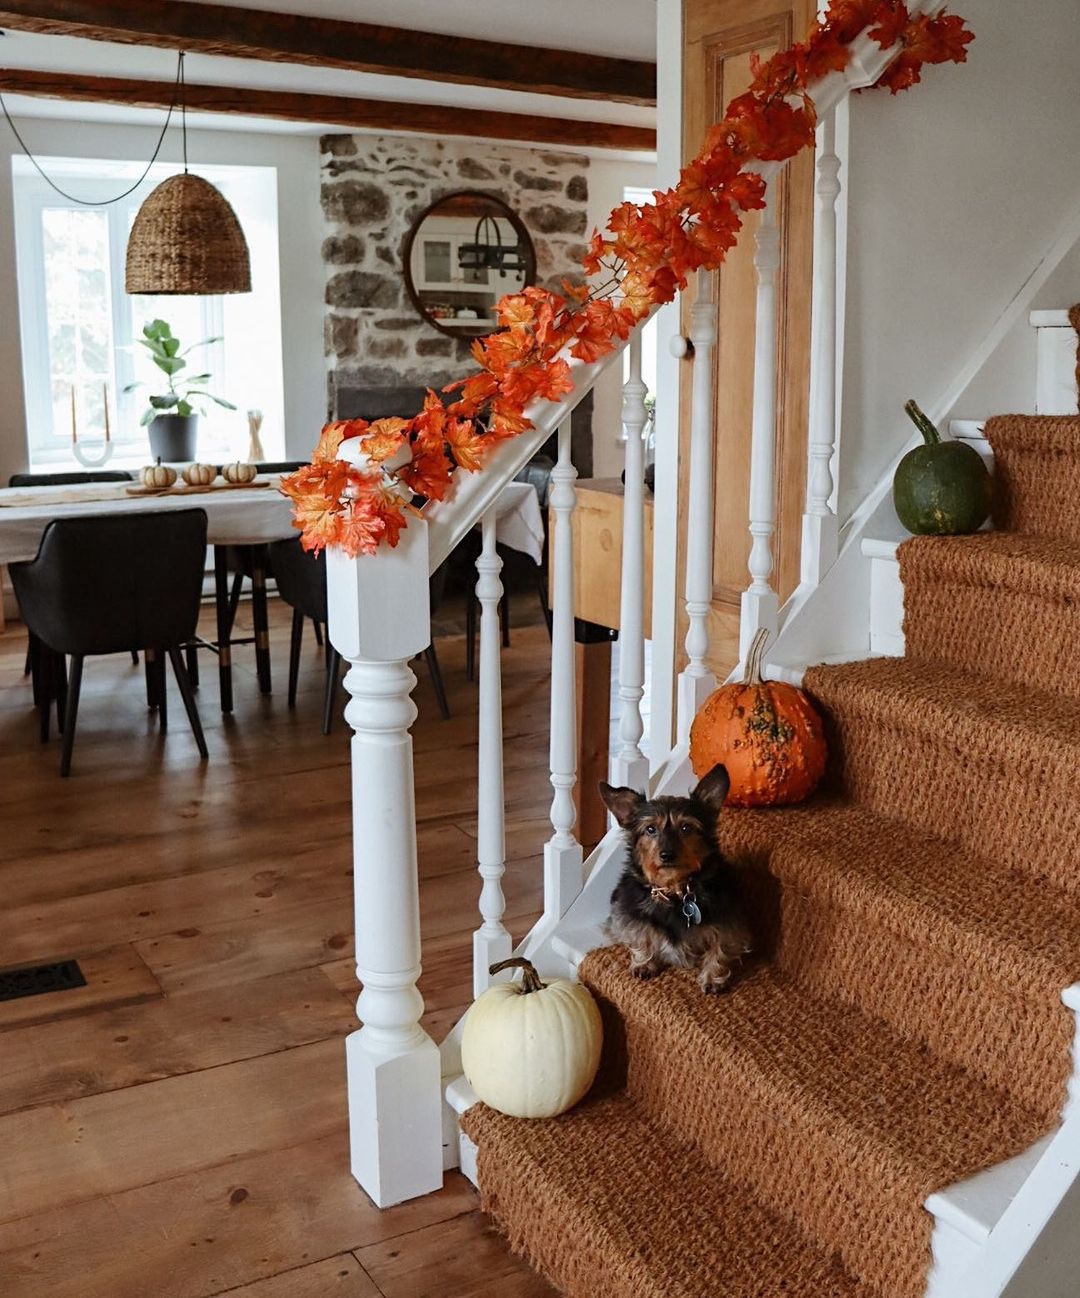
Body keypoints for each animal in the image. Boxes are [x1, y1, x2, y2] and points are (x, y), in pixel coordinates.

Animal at [599, 758, 752, 991]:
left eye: (686, 827)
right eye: (650, 829)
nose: (667, 855)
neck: (675, 891)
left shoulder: (730, 922)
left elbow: (721, 948)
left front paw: (712, 977)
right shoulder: (626, 914)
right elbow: (640, 937)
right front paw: (644, 963)